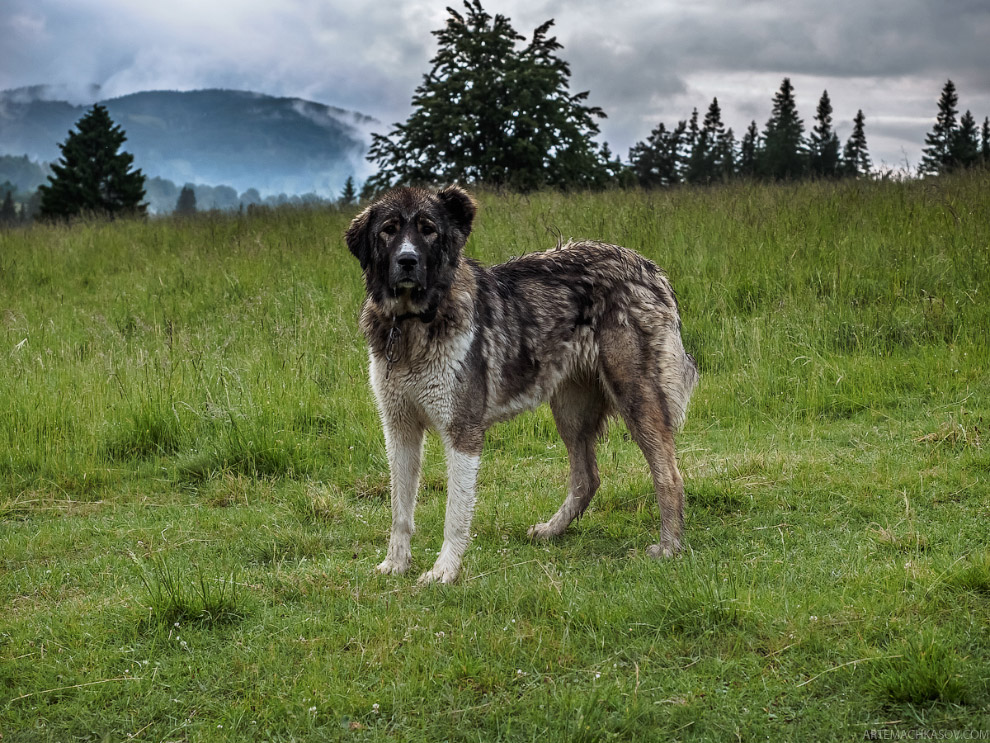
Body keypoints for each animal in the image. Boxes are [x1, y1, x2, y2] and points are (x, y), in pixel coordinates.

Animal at [346, 187, 696, 588]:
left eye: (428, 230)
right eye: (388, 230)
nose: (407, 260)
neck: (411, 323)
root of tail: (648, 267)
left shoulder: (463, 432)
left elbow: (455, 513)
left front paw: (444, 570)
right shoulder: (400, 430)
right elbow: (400, 511)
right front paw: (395, 564)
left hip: (636, 400)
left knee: (669, 475)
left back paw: (668, 547)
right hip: (571, 413)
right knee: (587, 478)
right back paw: (552, 530)